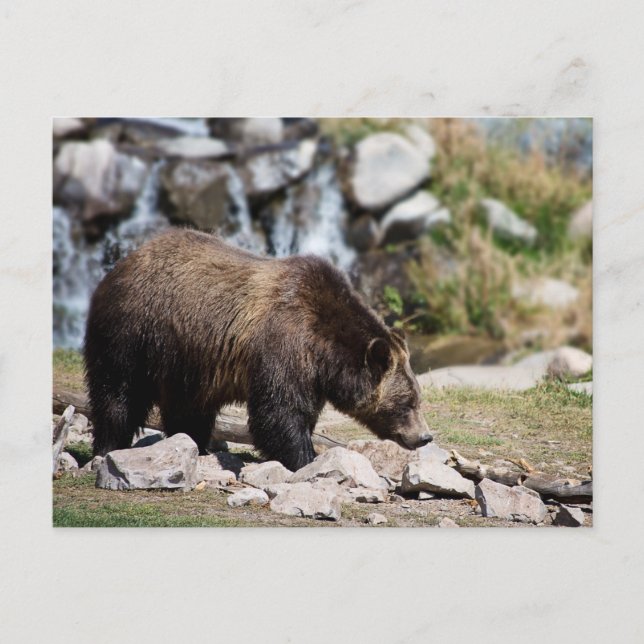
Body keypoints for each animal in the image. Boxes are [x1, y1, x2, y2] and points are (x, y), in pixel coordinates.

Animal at [84, 228, 432, 472]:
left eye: (417, 398)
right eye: (407, 403)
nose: (425, 437)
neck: (324, 351)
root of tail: (123, 262)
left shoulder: (311, 374)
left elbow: (299, 412)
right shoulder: (284, 344)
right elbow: (279, 412)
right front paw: (305, 459)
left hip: (185, 359)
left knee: (188, 408)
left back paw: (195, 445)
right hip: (134, 332)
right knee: (118, 393)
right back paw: (108, 446)